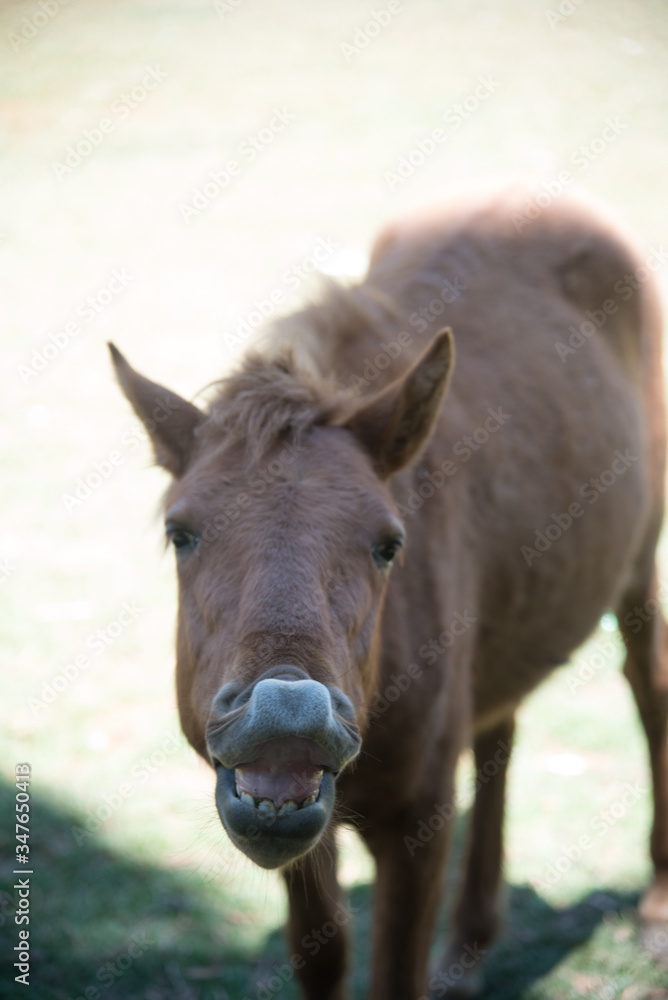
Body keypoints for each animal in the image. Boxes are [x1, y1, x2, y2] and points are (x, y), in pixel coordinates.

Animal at [109, 184, 668, 996]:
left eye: (388, 544)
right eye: (180, 532)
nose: (286, 718)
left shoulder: (415, 824)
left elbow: (394, 972)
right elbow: (325, 955)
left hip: (640, 563)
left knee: (648, 688)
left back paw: (655, 907)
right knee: (500, 731)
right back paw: (470, 943)